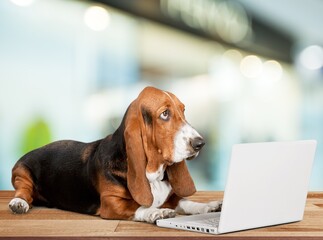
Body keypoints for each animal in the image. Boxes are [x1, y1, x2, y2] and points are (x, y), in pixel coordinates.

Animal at [8, 86, 221, 223]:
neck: (154, 174)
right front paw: (156, 213)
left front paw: (209, 206)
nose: (200, 143)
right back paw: (19, 203)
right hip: (22, 173)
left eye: (183, 111)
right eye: (165, 114)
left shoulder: (172, 199)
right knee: (24, 191)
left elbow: (185, 202)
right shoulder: (111, 202)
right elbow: (138, 207)